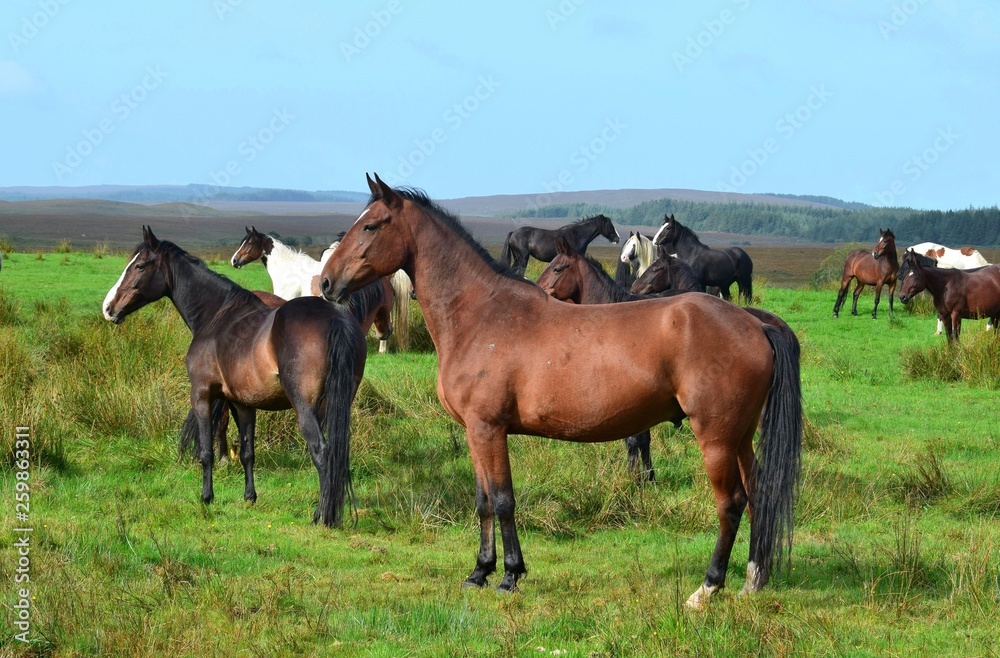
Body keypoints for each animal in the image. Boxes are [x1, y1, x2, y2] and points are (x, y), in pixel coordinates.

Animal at [103, 228, 368, 524]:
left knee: (321, 452)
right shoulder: (243, 404)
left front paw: (207, 497)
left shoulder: (202, 395)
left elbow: (206, 451)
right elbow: (247, 452)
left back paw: (322, 516)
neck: (217, 316)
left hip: (306, 408)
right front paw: (250, 497)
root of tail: (336, 319)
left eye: (139, 265)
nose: (109, 308)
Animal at [320, 173, 804, 604]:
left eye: (371, 225)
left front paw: (509, 576)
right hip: (740, 437)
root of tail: (753, 322)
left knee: (731, 503)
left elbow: (502, 500)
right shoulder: (475, 432)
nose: (325, 282)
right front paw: (478, 572)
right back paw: (753, 579)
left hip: (716, 437)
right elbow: (482, 500)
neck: (481, 314)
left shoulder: (488, 429)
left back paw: (708, 587)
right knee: (758, 495)